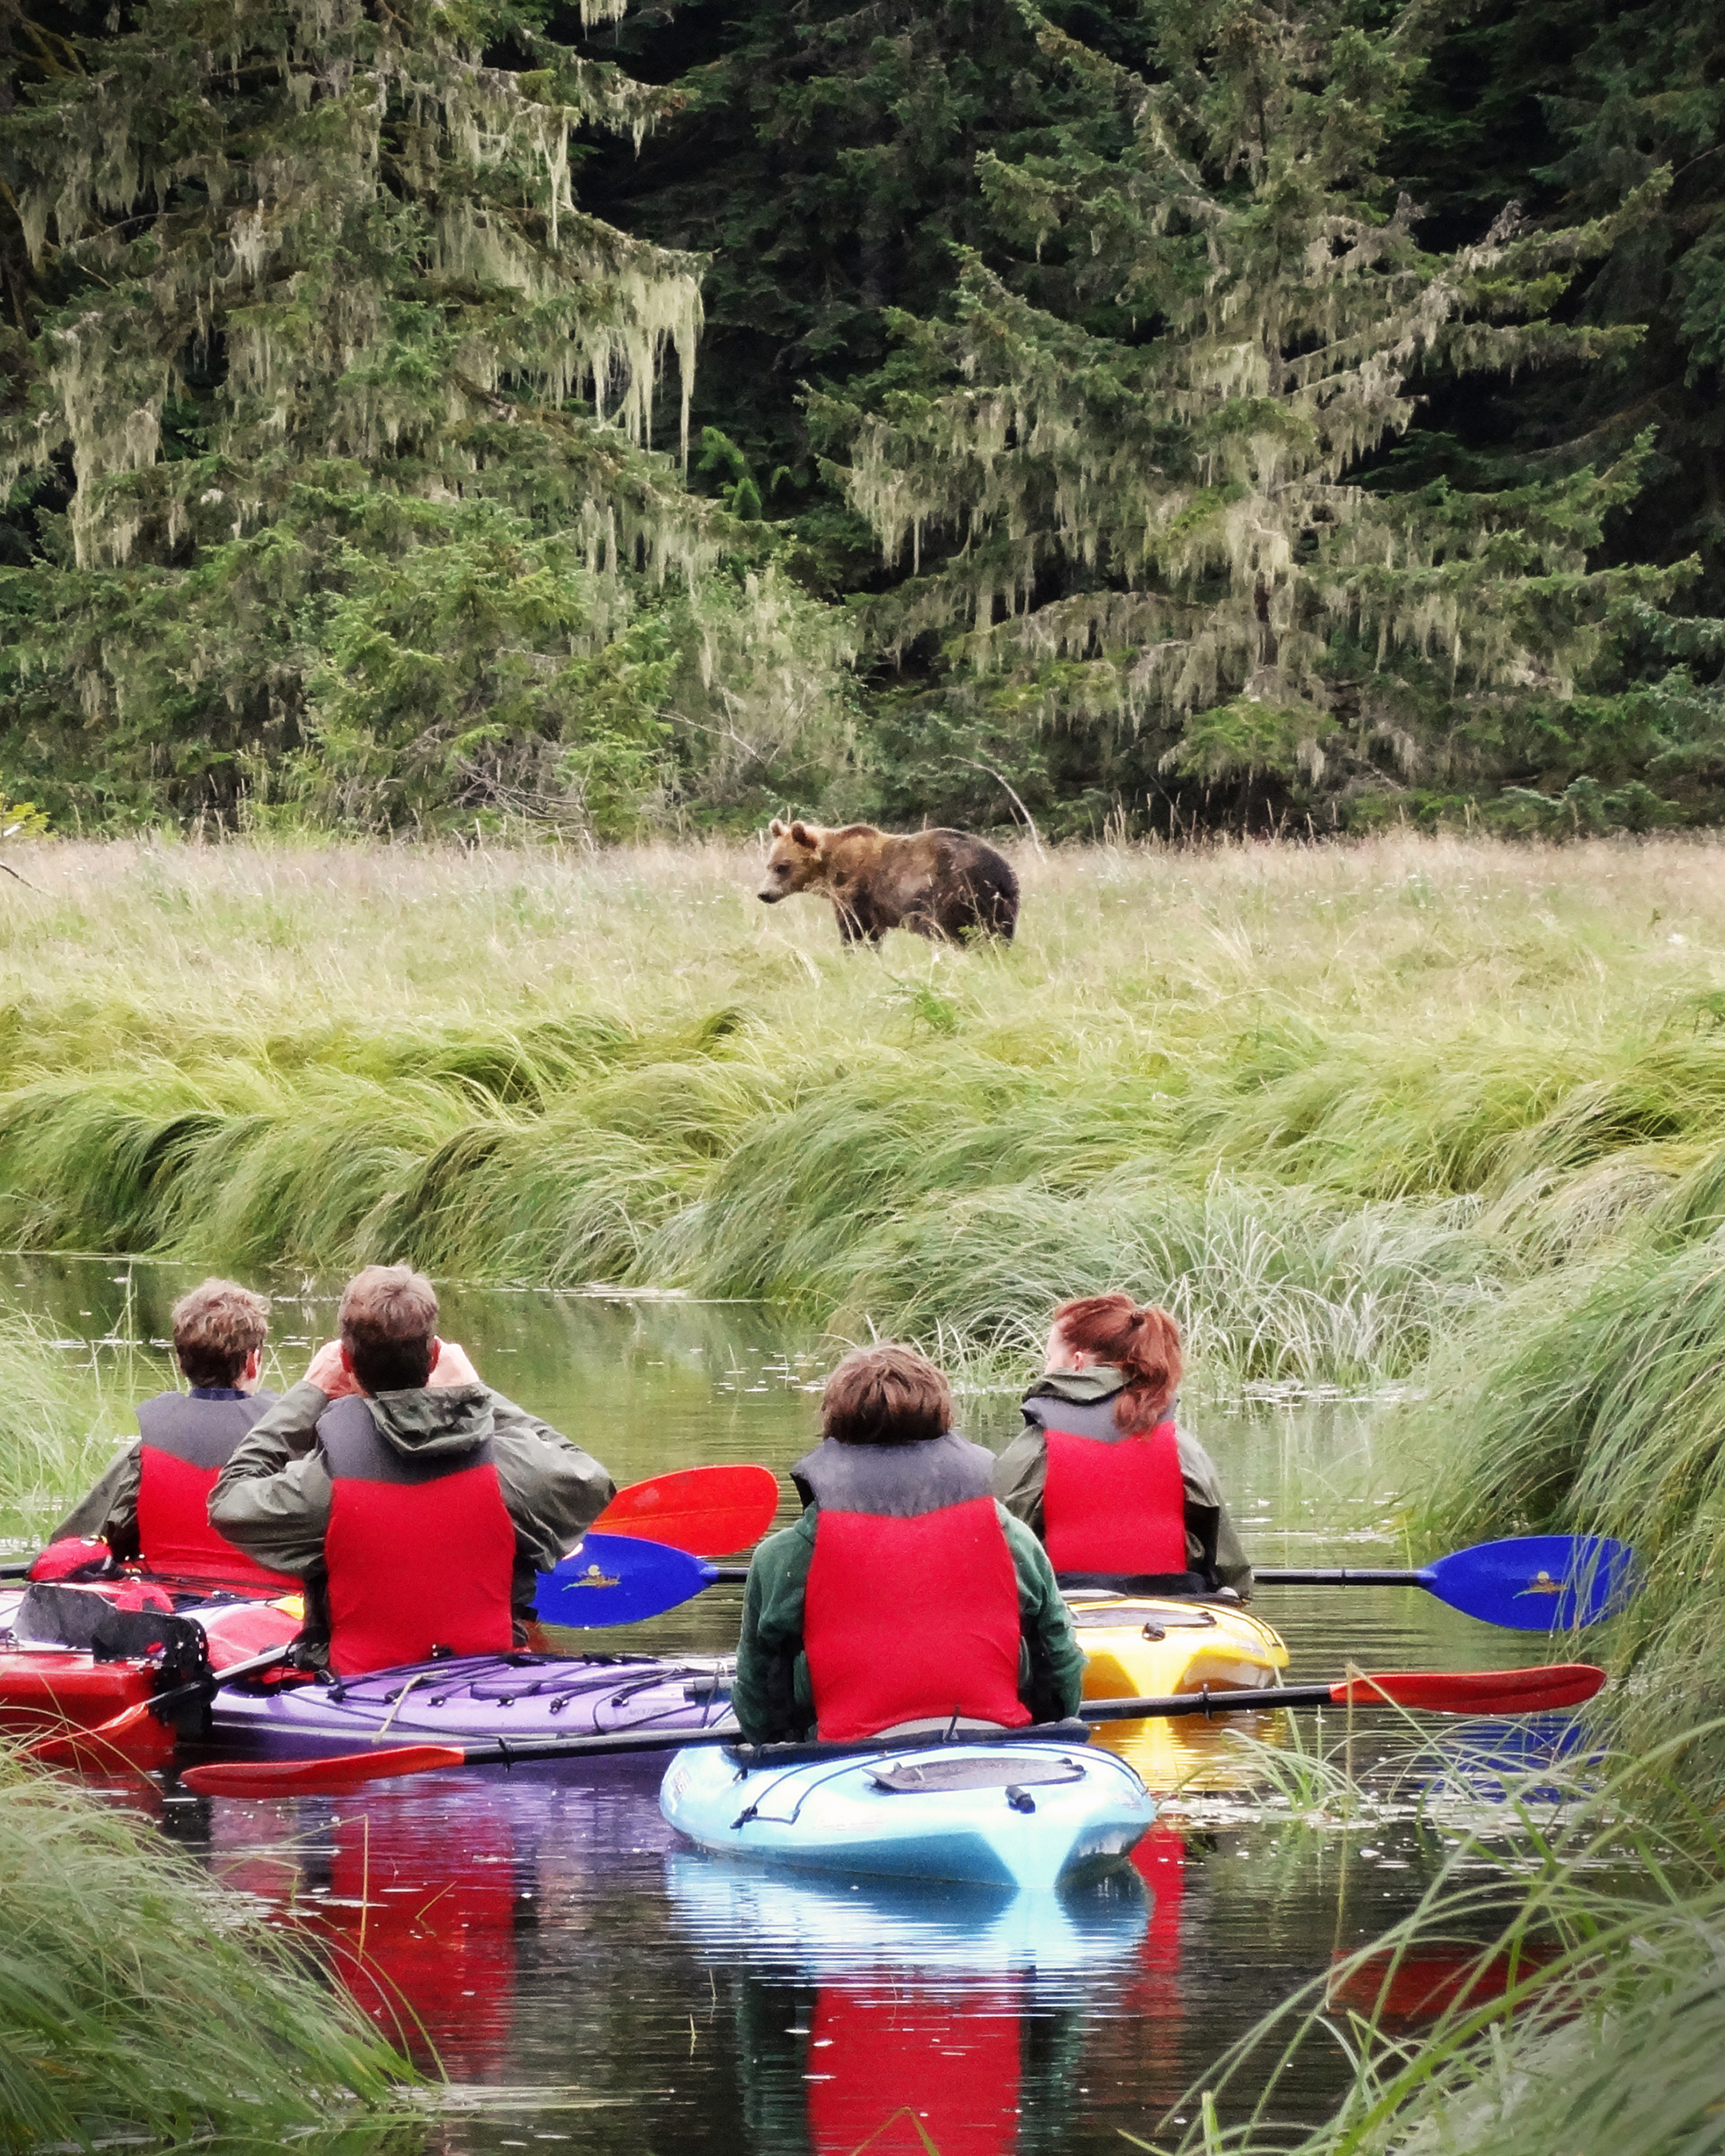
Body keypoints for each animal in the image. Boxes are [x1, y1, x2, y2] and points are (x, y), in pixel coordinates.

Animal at [756, 819, 1020, 946]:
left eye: (782, 866)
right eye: (769, 864)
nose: (764, 893)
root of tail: (1002, 869)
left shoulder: (856, 892)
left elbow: (856, 931)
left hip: (954, 891)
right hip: (1001, 904)